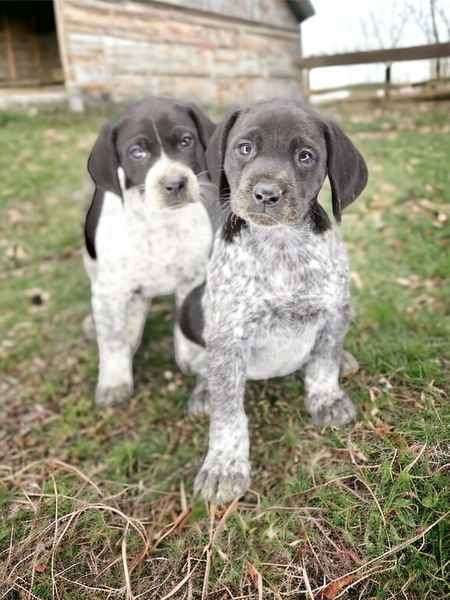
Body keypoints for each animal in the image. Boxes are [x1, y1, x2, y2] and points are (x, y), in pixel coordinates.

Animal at [85, 96, 218, 410]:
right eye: (137, 152)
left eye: (186, 141)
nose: (175, 184)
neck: (159, 223)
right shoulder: (109, 290)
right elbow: (112, 341)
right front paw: (114, 383)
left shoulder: (193, 282)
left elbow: (189, 333)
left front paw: (201, 383)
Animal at [177, 97, 370, 502]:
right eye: (244, 148)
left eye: (305, 156)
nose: (266, 194)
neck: (280, 245)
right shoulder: (228, 339)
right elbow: (229, 414)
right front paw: (224, 465)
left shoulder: (334, 310)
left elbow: (322, 364)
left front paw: (326, 398)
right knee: (202, 370)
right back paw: (202, 393)